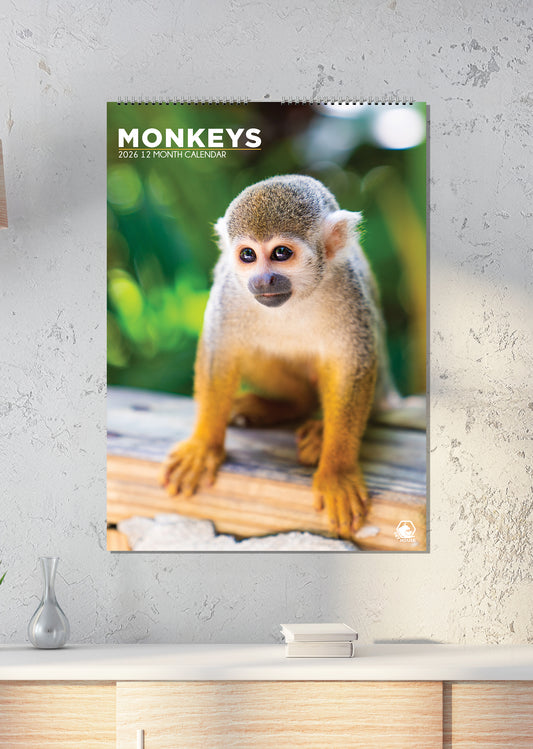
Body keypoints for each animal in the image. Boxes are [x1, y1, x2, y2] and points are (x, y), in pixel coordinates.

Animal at [160, 174, 396, 541]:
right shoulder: (231, 291)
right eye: (248, 255)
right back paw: (286, 406)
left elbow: (351, 366)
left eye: (281, 253)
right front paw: (203, 446)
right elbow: (221, 349)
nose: (262, 280)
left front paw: (337, 471)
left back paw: (318, 428)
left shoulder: (348, 291)